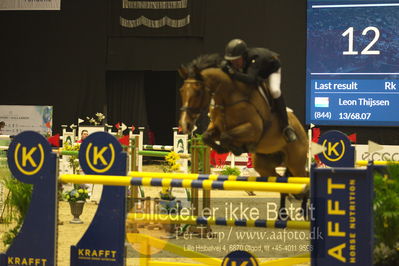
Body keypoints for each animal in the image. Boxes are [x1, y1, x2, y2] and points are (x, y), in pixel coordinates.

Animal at [180, 53, 310, 218]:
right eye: (181, 91)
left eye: (198, 92)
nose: (185, 124)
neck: (229, 97)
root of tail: (301, 130)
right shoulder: (216, 127)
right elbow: (207, 137)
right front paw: (225, 149)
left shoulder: (253, 129)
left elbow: (226, 137)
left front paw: (236, 149)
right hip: (264, 165)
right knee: (282, 182)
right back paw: (283, 214)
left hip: (295, 161)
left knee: (304, 179)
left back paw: (304, 211)